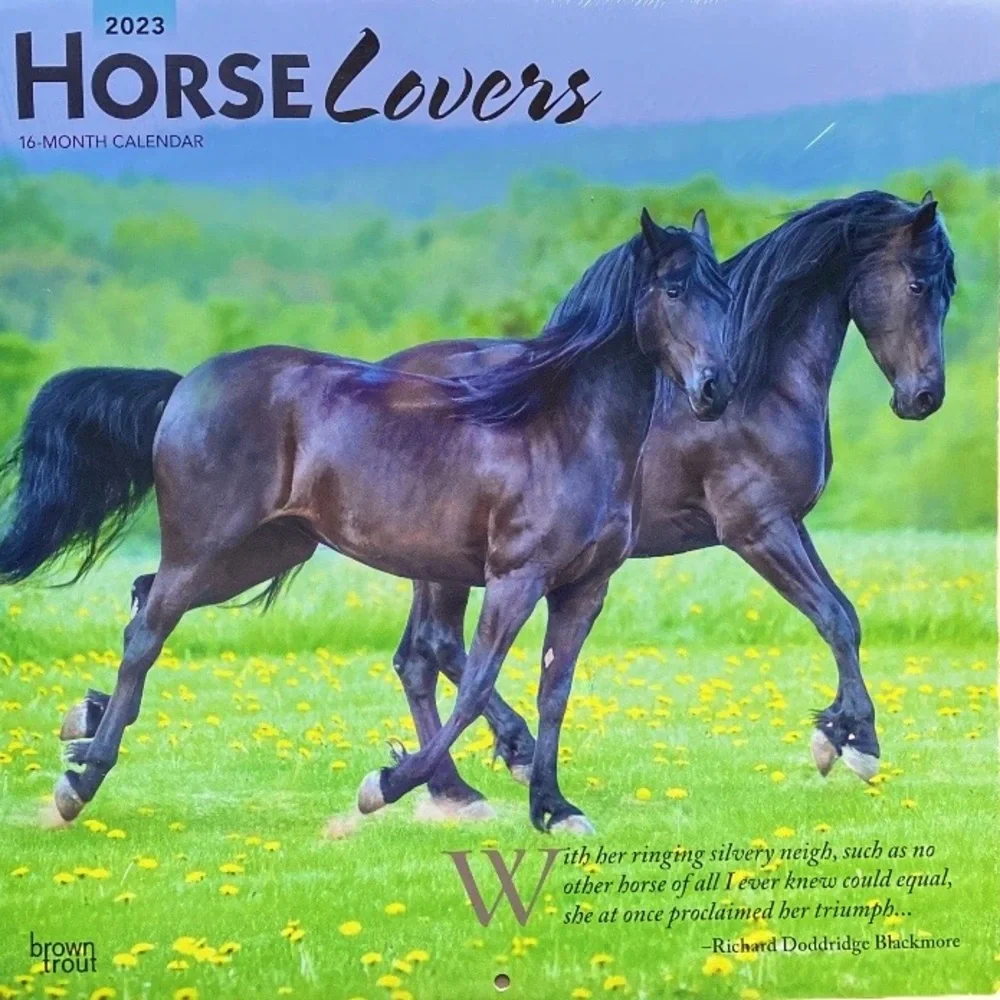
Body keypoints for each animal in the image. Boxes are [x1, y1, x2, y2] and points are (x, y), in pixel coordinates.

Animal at [0, 208, 733, 834]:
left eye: (724, 295)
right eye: (673, 289)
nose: (715, 389)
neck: (561, 429)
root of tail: (182, 388)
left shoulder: (584, 588)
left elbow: (555, 691)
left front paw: (554, 809)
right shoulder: (515, 578)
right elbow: (476, 683)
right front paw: (385, 784)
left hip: (265, 552)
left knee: (143, 603)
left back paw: (87, 732)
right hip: (206, 548)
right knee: (147, 633)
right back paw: (79, 784)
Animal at [373, 189, 956, 810]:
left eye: (947, 288)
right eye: (918, 284)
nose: (924, 397)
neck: (760, 383)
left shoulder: (791, 523)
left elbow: (847, 612)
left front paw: (838, 732)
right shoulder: (757, 529)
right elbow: (833, 618)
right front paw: (856, 742)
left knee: (416, 659)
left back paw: (451, 786)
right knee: (439, 648)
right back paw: (506, 758)